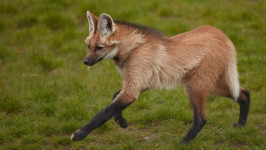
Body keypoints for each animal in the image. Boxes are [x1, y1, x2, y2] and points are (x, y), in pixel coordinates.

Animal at [70, 10, 249, 144]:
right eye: (88, 46)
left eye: (99, 47)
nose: (86, 61)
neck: (133, 49)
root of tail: (222, 34)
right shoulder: (140, 83)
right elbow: (114, 97)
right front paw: (121, 121)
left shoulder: (133, 88)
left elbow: (103, 113)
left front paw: (79, 133)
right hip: (209, 84)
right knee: (244, 93)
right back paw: (241, 125)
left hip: (195, 85)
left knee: (201, 119)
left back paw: (182, 144)